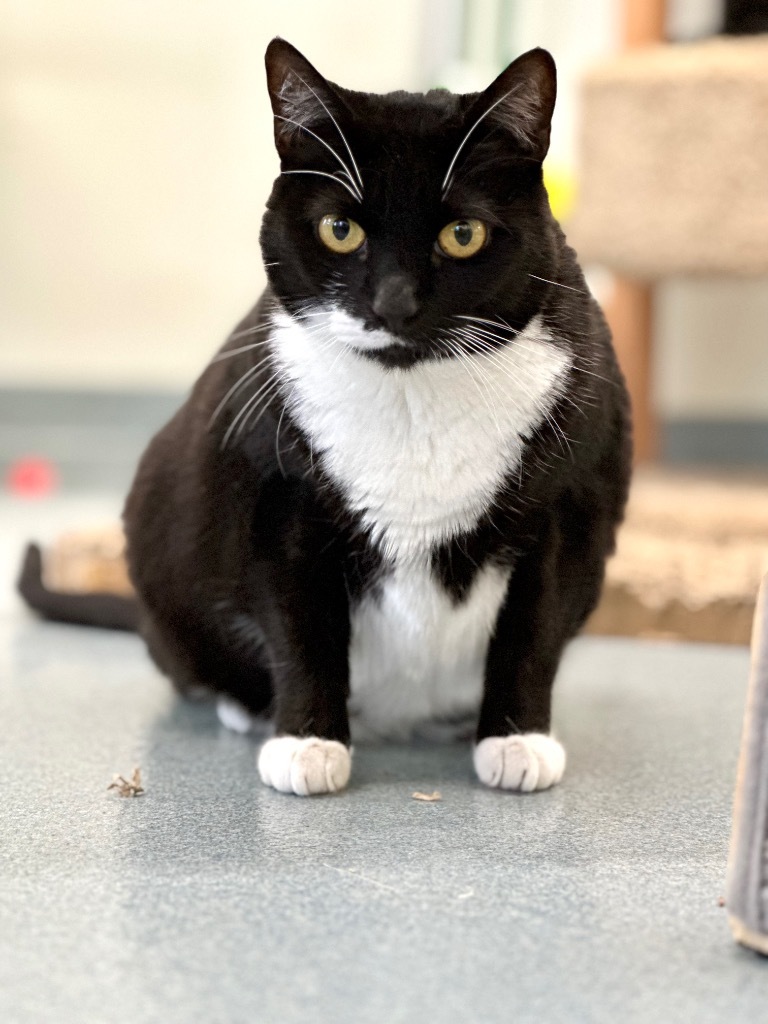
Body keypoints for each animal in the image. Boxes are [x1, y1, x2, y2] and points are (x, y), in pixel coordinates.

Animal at [118, 37, 630, 790]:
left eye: (463, 233)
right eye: (340, 228)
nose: (393, 302)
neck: (413, 393)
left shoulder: (571, 503)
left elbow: (534, 628)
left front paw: (517, 741)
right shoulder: (279, 494)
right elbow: (301, 626)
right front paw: (306, 742)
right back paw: (248, 709)